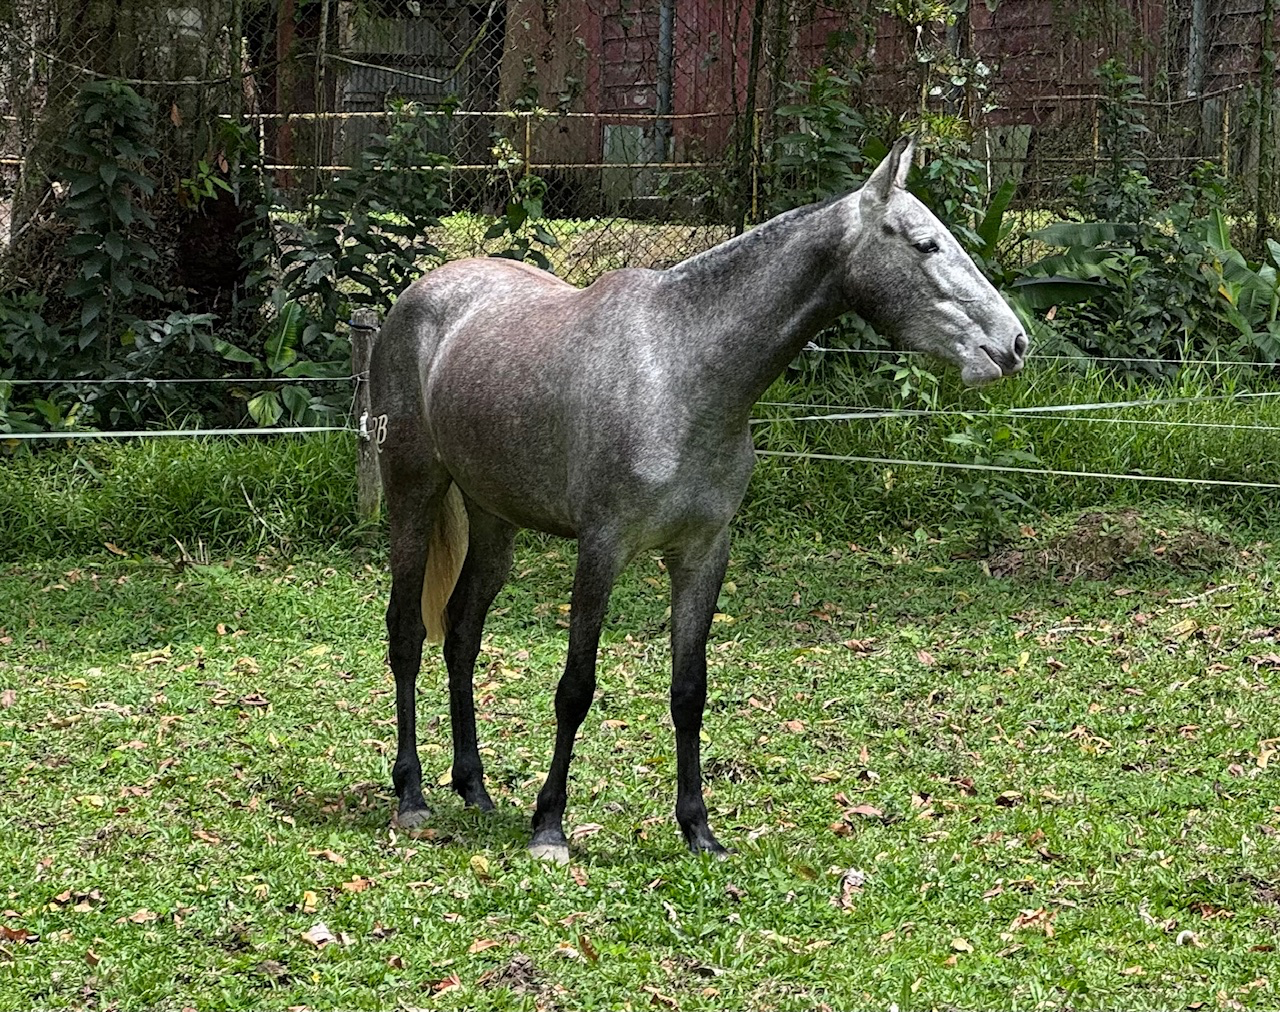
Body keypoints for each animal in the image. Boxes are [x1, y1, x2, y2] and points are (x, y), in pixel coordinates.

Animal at [368, 137, 1026, 863]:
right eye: (925, 244)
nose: (1014, 343)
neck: (680, 370)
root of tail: (420, 296)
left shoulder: (702, 553)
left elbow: (689, 691)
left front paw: (698, 829)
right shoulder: (602, 550)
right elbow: (576, 687)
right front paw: (550, 827)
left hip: (494, 521)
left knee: (461, 635)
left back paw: (475, 789)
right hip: (414, 494)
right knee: (407, 634)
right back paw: (411, 795)